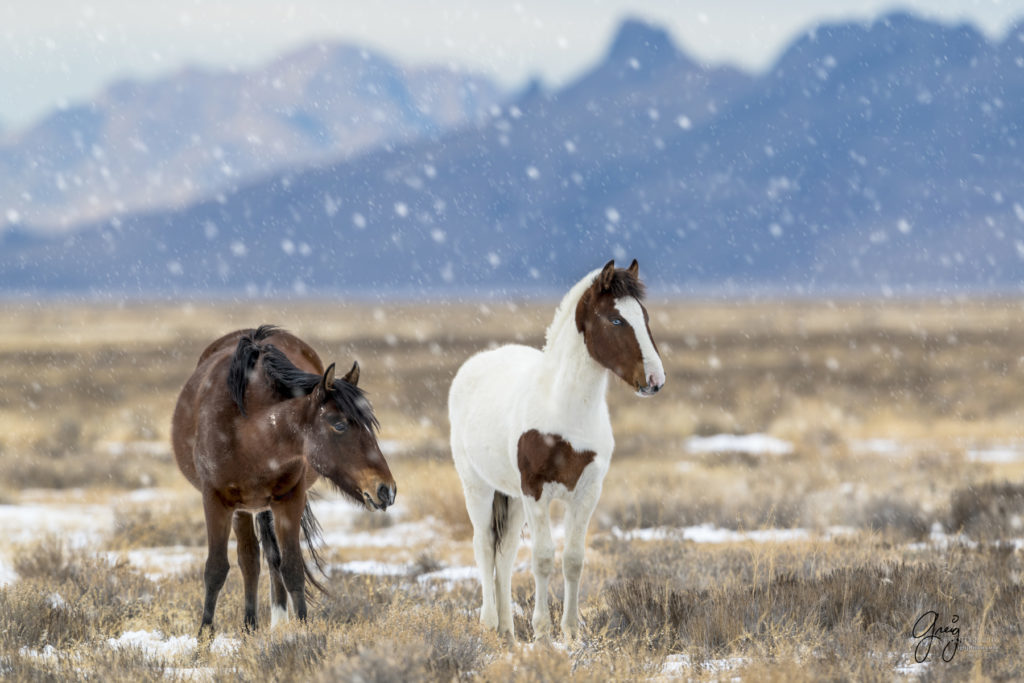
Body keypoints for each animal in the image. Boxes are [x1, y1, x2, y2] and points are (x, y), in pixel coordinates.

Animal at [172, 325, 395, 634]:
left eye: (369, 425)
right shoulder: (215, 501)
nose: (386, 489)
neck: (249, 432)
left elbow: (292, 567)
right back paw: (250, 626)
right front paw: (203, 635)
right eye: (339, 425)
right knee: (249, 559)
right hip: (243, 508)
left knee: (267, 559)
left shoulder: (289, 500)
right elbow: (216, 569)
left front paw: (302, 630)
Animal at [448, 260, 663, 643]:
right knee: (484, 546)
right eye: (616, 320)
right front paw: (543, 632)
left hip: (512, 497)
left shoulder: (587, 492)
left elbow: (573, 559)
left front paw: (571, 630)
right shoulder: (536, 491)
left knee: (505, 555)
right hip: (479, 487)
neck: (564, 408)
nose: (655, 380)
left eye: (644, 316)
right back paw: (489, 623)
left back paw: (507, 632)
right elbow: (544, 558)